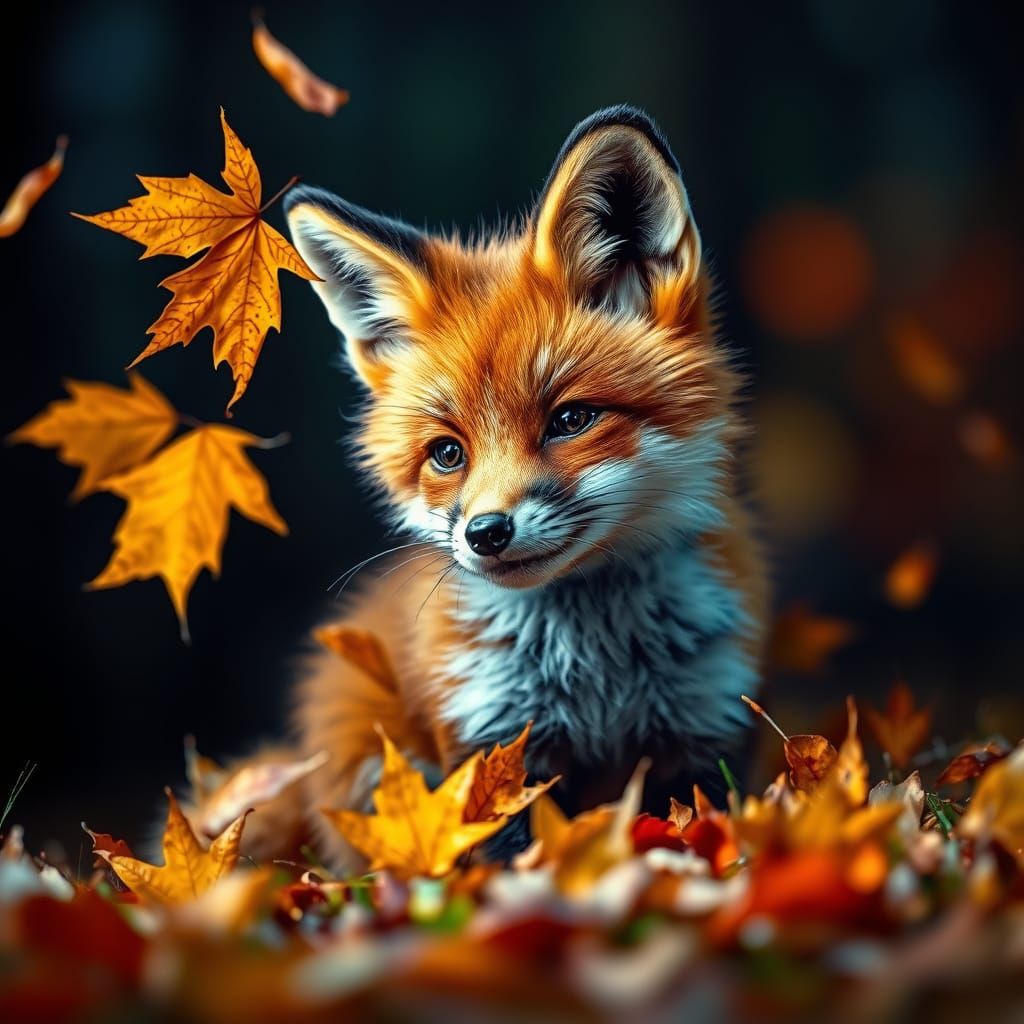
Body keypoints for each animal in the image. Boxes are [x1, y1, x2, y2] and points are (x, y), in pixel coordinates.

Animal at [230, 105, 767, 868]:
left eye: (571, 420)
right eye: (447, 454)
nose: (484, 533)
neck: (598, 669)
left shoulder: (703, 731)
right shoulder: (489, 747)